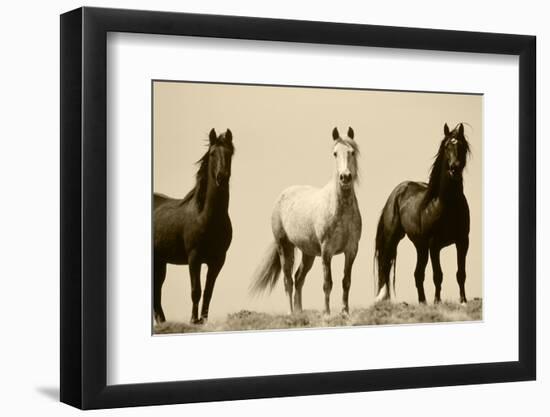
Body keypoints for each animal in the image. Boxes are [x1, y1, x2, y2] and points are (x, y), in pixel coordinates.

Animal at [153, 128, 235, 324]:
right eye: (212, 153)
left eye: (229, 153)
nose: (222, 177)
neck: (206, 217)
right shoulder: (194, 258)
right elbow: (196, 291)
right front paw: (193, 320)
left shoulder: (218, 261)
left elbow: (208, 292)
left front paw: (203, 320)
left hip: (160, 262)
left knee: (157, 291)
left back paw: (162, 322)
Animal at [378, 122, 472, 304]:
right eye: (446, 146)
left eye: (462, 146)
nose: (454, 169)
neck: (447, 204)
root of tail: (396, 193)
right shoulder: (434, 245)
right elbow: (438, 275)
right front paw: (437, 302)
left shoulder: (463, 241)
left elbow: (461, 273)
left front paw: (463, 300)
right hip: (394, 238)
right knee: (386, 266)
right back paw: (386, 300)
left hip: (420, 246)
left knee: (418, 274)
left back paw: (422, 302)